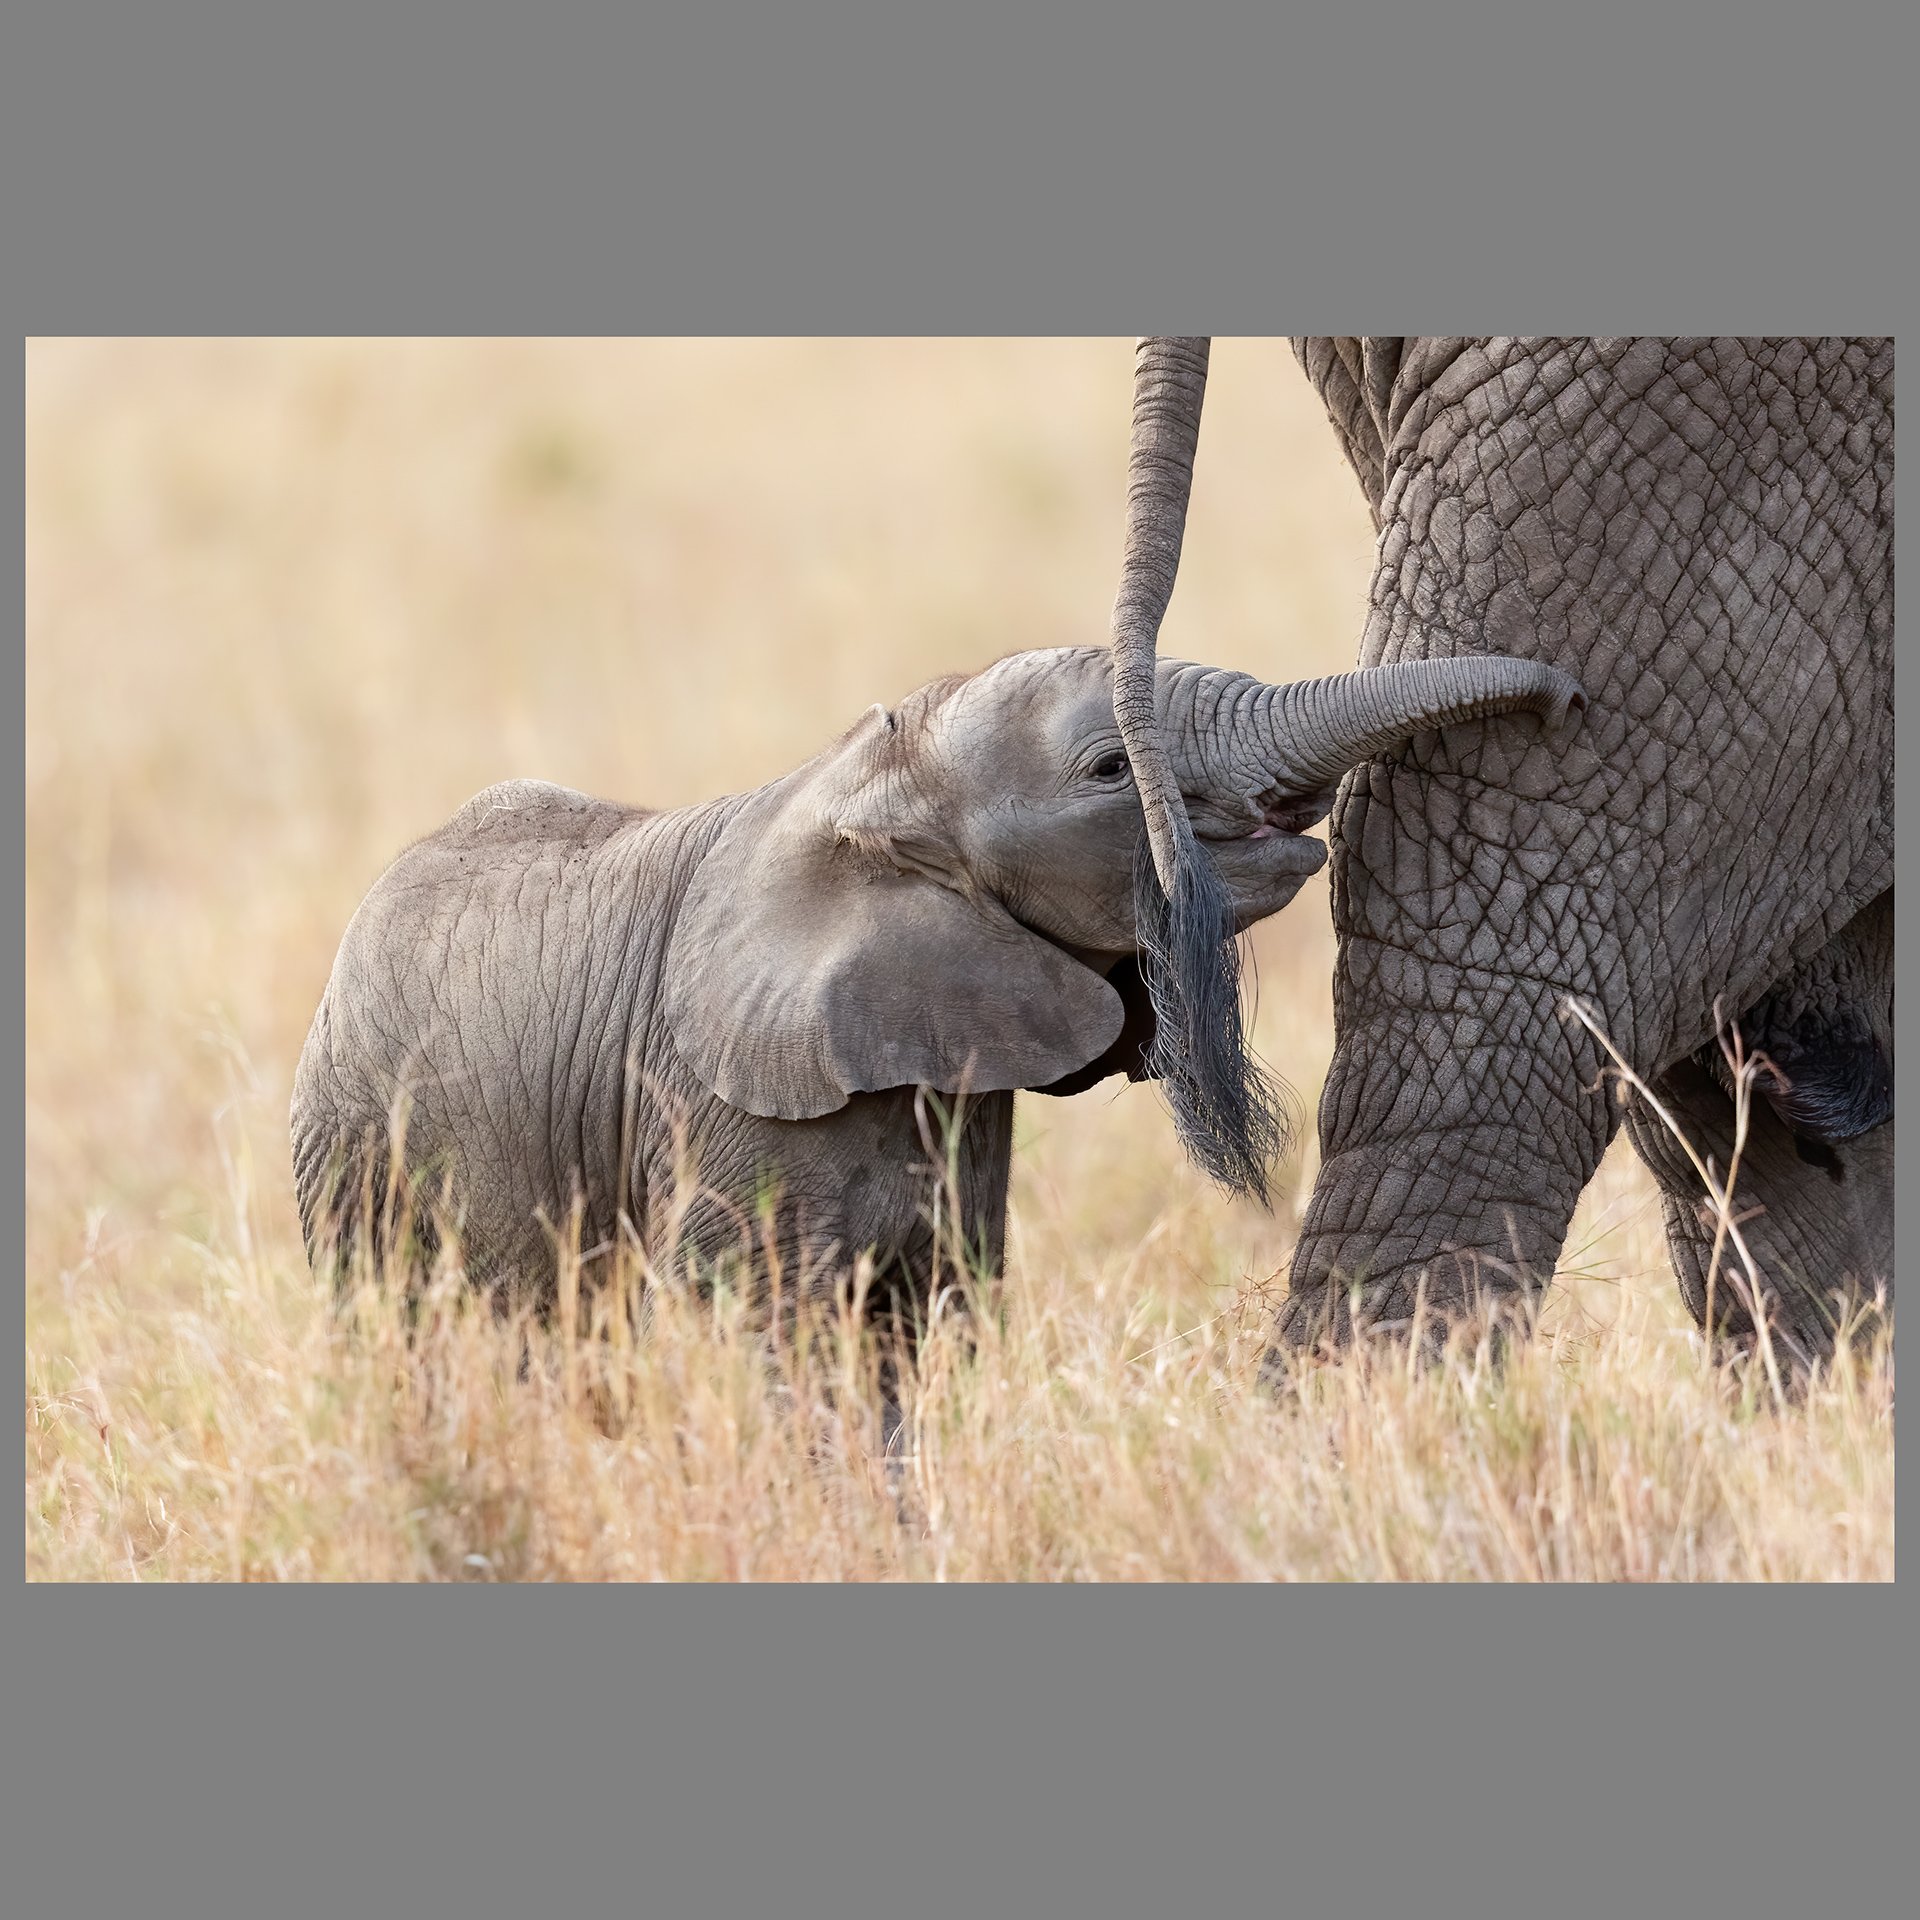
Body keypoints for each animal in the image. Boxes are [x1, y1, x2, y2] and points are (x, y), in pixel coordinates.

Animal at [290, 642, 1582, 1325]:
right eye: (1110, 770)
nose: (1567, 695)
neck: (864, 783)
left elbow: (916, 1330)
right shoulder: (713, 1111)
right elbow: (764, 1336)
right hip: (358, 1155)